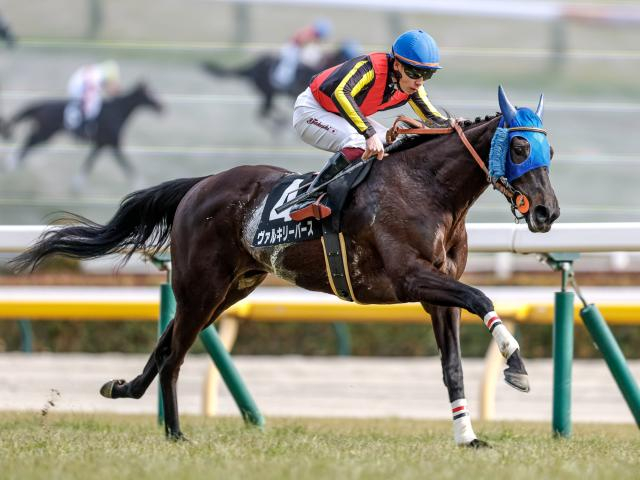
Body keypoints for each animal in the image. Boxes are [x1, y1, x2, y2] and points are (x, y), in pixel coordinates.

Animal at [2, 83, 163, 190]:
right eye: (150, 94)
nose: (162, 107)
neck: (117, 111)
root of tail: (41, 105)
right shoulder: (113, 143)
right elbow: (125, 163)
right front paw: (139, 183)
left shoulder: (101, 144)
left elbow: (90, 162)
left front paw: (77, 184)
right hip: (45, 133)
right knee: (29, 142)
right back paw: (12, 163)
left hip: (44, 133)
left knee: (29, 143)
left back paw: (17, 163)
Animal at [202, 43, 357, 124]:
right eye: (346, 53)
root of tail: (252, 66)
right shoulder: (294, 93)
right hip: (267, 91)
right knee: (263, 113)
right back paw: (279, 124)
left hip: (268, 93)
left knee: (265, 112)